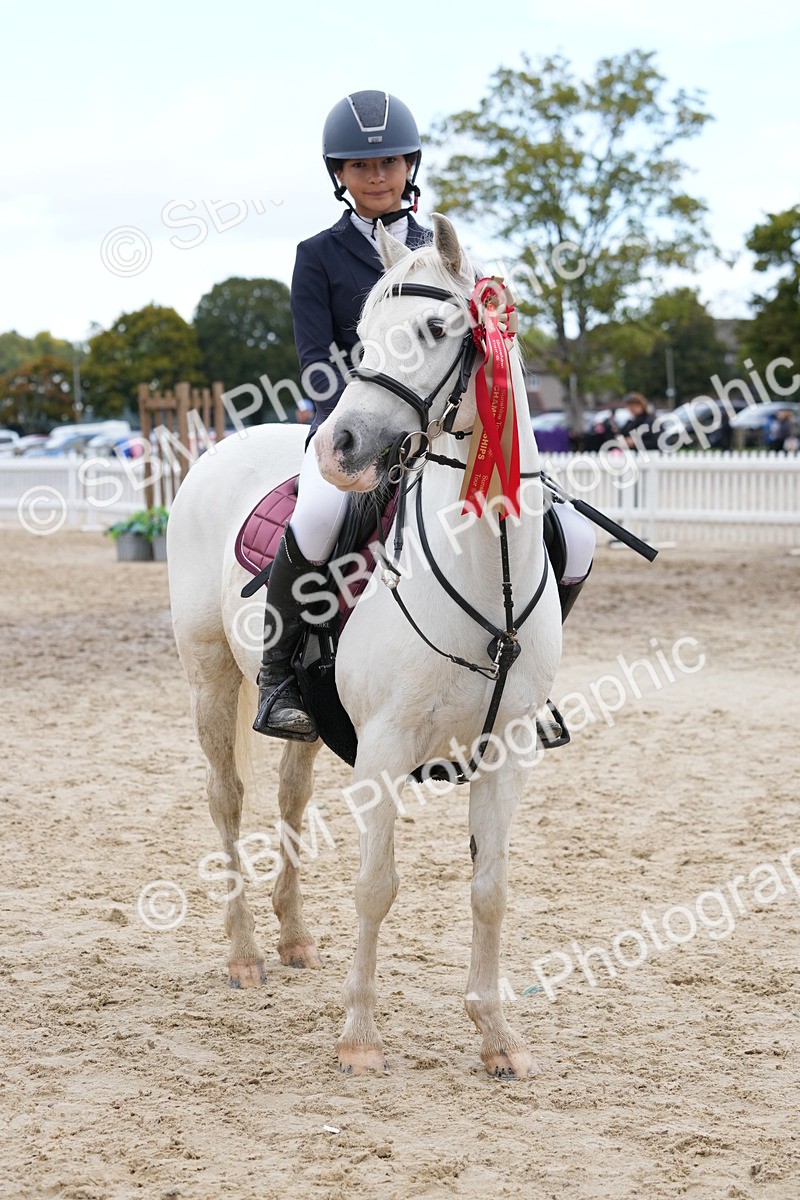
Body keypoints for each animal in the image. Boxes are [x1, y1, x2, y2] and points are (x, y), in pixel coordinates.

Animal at [166, 214, 562, 1077]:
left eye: (437, 330)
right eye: (362, 336)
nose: (341, 446)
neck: (485, 571)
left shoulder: (509, 750)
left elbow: (490, 888)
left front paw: (498, 1036)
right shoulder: (383, 749)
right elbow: (377, 886)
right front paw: (358, 1038)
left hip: (306, 718)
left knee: (287, 795)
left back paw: (293, 938)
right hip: (208, 676)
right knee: (227, 799)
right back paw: (245, 954)